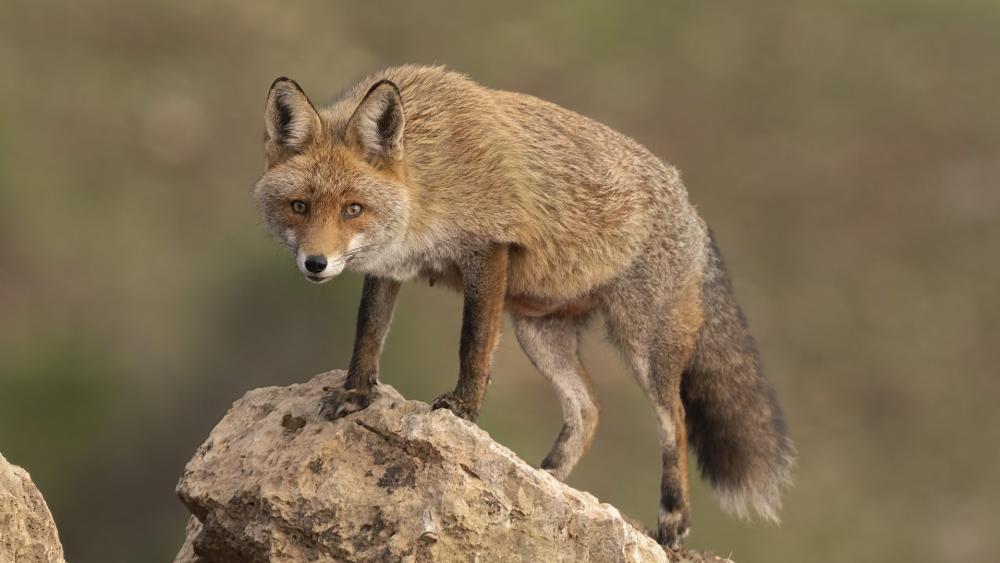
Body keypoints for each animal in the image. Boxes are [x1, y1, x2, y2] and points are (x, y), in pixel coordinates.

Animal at [253, 65, 794, 549]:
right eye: (300, 207)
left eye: (353, 209)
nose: (316, 263)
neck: (429, 174)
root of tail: (692, 209)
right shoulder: (389, 268)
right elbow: (367, 335)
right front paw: (355, 394)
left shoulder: (489, 249)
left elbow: (472, 346)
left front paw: (463, 408)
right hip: (539, 334)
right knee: (588, 409)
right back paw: (547, 479)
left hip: (644, 344)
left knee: (675, 419)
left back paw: (672, 519)